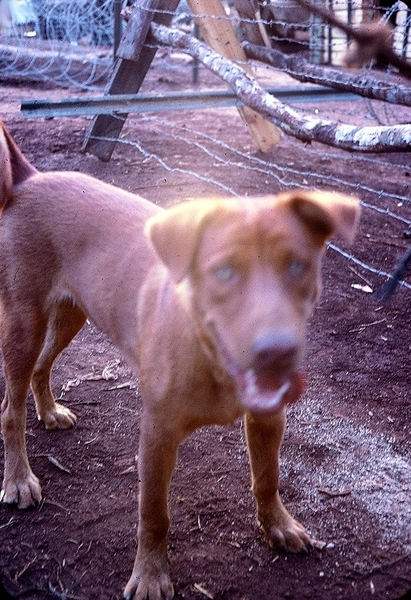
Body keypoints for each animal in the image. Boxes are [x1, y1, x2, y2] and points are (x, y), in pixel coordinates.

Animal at [0, 123, 360, 600]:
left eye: (298, 266)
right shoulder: (156, 435)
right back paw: (18, 479)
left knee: (42, 367)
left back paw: (49, 411)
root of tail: (30, 178)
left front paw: (278, 525)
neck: (213, 360)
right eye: (223, 271)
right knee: (10, 408)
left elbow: (268, 478)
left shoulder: (269, 419)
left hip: (72, 313)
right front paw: (151, 574)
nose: (277, 351)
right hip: (23, 322)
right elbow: (154, 514)